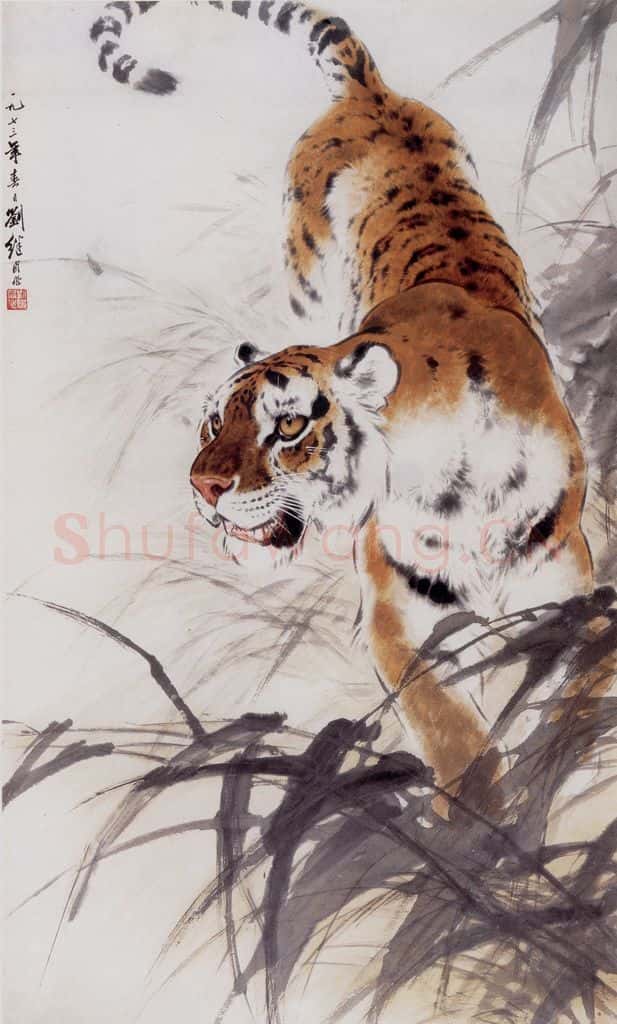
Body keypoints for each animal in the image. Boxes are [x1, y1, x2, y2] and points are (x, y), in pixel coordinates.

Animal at [91, 0, 593, 807]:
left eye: (289, 426)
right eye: (213, 422)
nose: (202, 487)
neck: (456, 486)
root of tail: (369, 90)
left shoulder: (569, 590)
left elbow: (574, 699)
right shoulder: (399, 616)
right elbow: (453, 730)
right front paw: (482, 823)